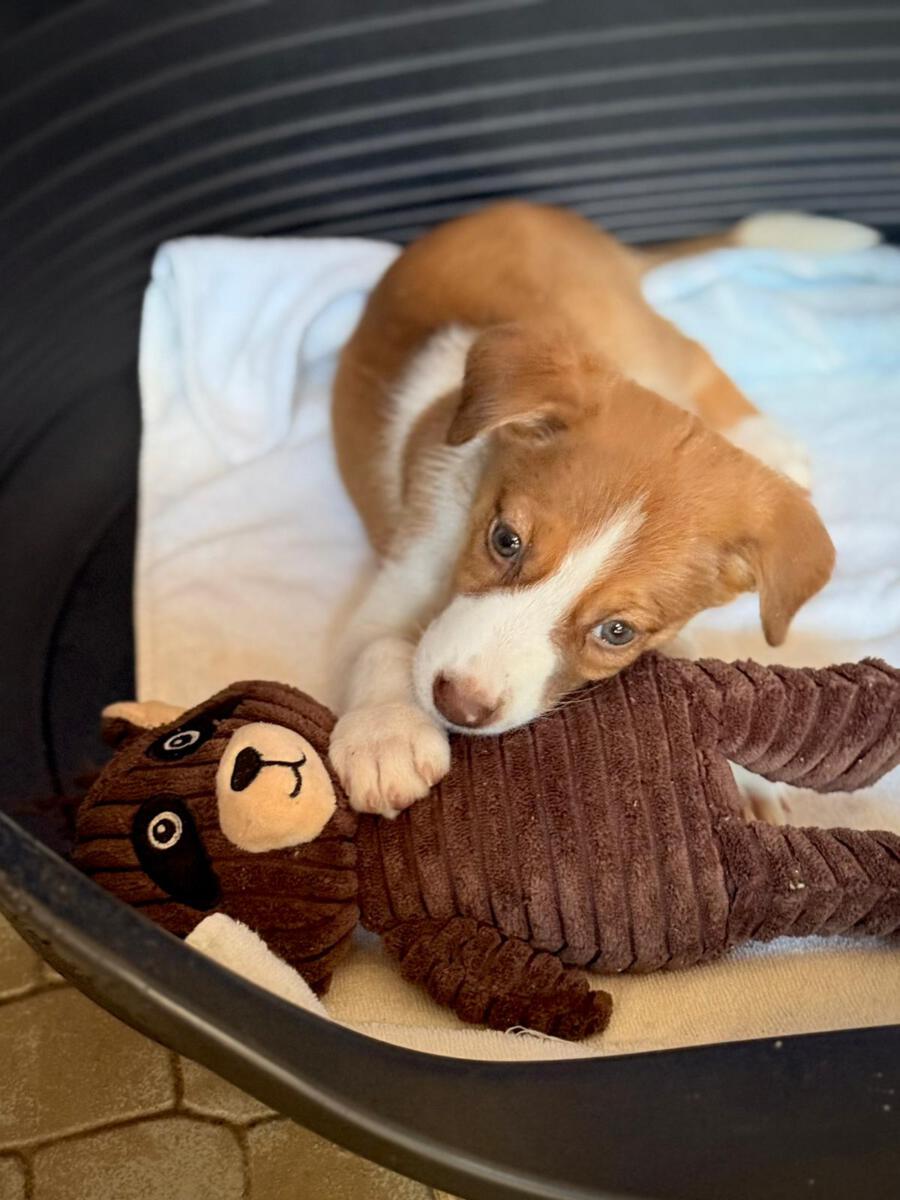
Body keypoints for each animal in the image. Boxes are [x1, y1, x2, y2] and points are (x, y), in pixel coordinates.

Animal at [330, 202, 837, 817]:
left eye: (617, 632)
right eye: (504, 540)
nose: (459, 706)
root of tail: (533, 210)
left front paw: (740, 770)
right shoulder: (403, 572)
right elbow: (379, 645)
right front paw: (385, 734)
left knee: (695, 357)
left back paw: (765, 440)